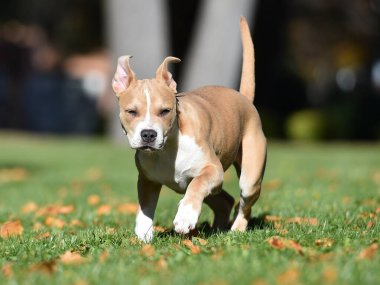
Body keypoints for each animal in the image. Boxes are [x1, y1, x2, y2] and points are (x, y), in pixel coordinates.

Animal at [112, 16, 268, 241]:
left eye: (165, 111)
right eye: (131, 111)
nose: (148, 134)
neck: (168, 148)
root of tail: (244, 99)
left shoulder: (212, 169)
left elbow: (198, 184)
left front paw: (185, 217)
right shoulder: (148, 180)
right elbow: (145, 208)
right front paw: (143, 234)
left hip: (249, 176)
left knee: (243, 201)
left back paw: (236, 229)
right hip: (213, 189)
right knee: (225, 200)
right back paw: (217, 229)